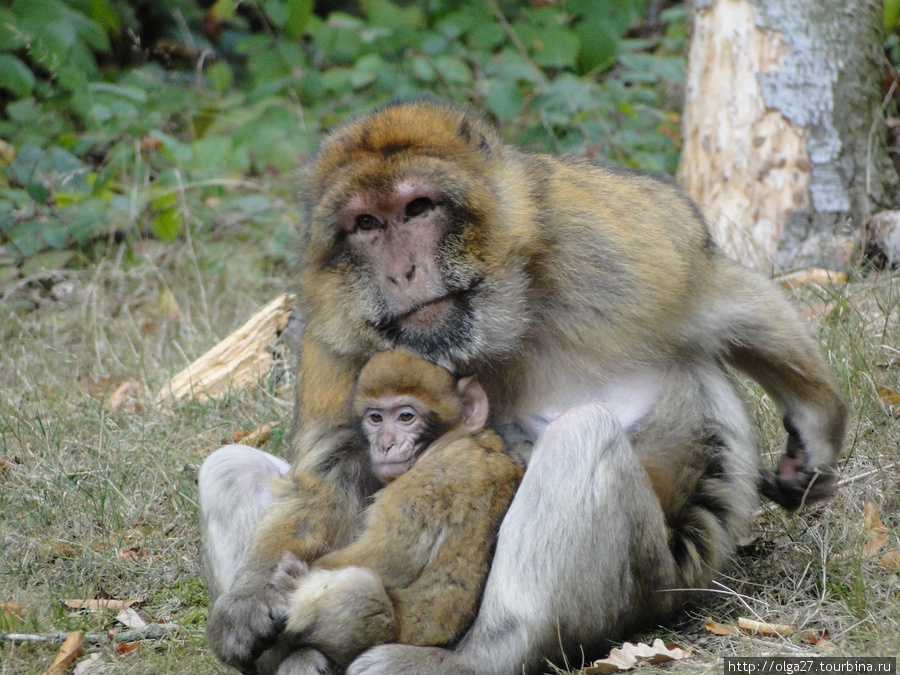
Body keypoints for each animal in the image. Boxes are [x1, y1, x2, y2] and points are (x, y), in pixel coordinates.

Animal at [278, 352, 524, 668]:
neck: (455, 439)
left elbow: (393, 559)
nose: (385, 444)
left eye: (406, 416)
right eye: (376, 418)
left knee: (361, 586)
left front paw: (292, 574)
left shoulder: (421, 487)